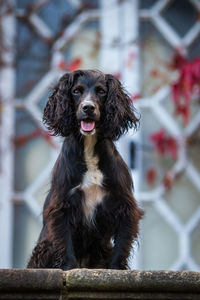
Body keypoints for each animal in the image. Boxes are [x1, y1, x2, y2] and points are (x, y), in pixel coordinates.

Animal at [27, 69, 144, 270]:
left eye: (101, 91)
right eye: (76, 91)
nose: (88, 107)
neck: (89, 148)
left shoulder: (124, 204)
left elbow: (122, 242)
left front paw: (115, 269)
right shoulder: (62, 204)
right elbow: (64, 240)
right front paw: (69, 267)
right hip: (44, 247)